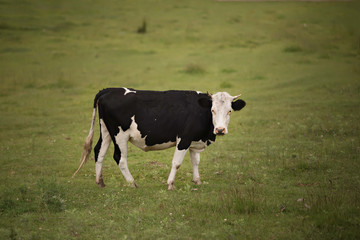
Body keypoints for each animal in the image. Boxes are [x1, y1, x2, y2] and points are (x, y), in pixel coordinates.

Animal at [73, 87, 248, 190]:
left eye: (230, 111)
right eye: (212, 110)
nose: (220, 130)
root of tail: (110, 90)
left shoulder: (194, 141)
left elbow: (195, 161)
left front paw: (197, 181)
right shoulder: (184, 139)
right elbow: (176, 163)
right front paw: (170, 184)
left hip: (106, 130)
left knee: (99, 152)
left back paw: (100, 182)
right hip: (119, 135)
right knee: (119, 158)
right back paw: (132, 183)